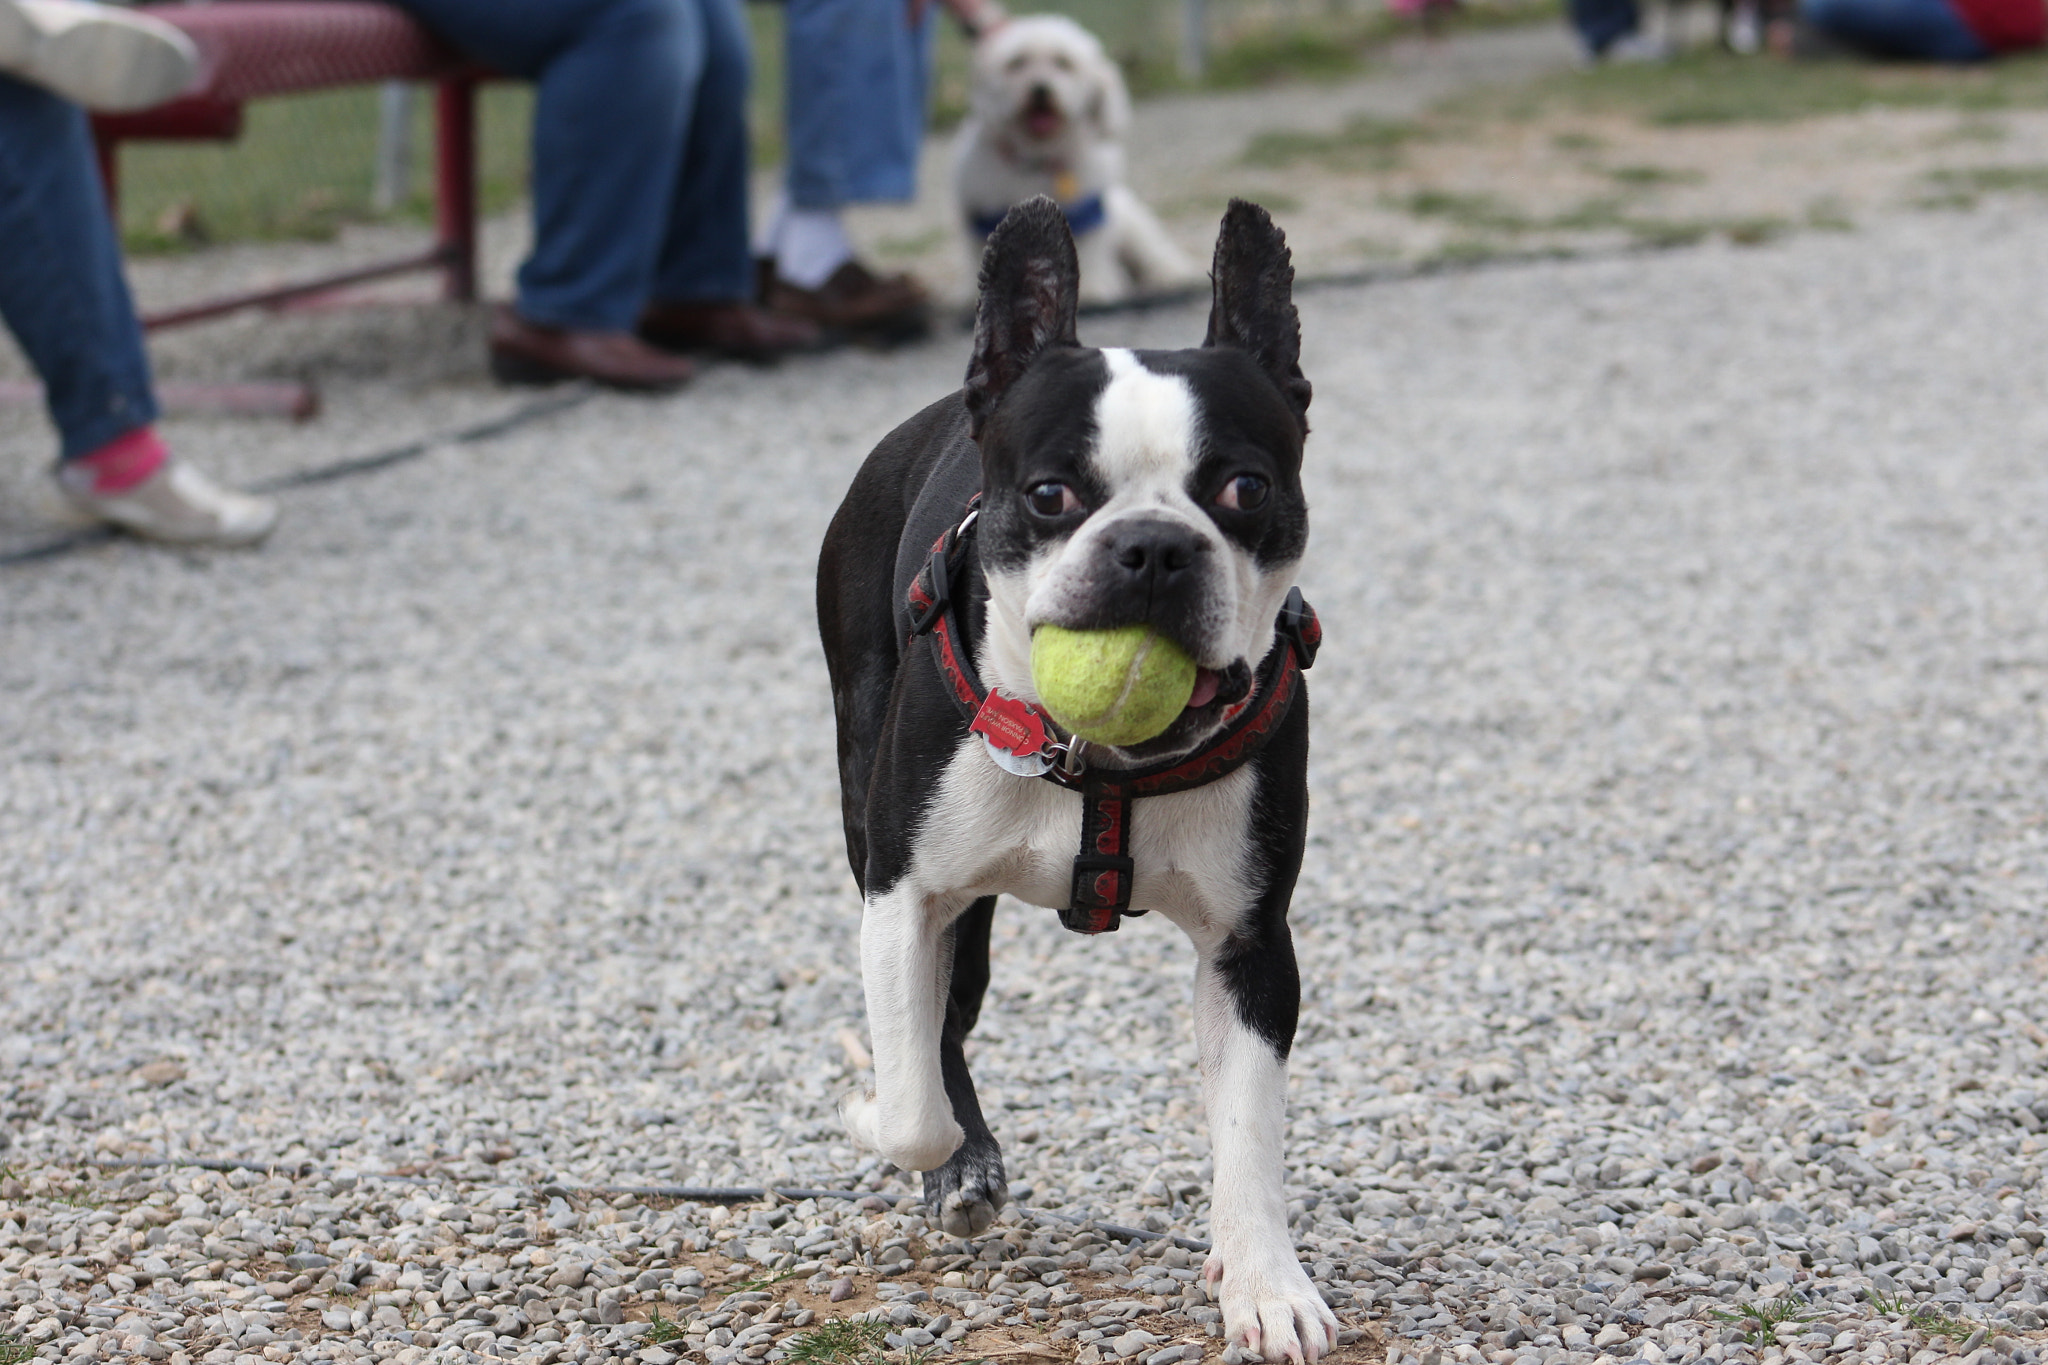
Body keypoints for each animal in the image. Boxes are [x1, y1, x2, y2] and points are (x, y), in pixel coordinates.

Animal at [823, 197, 1335, 1358]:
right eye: (1050, 494)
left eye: (1245, 487)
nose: (1152, 546)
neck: (1105, 763)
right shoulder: (904, 895)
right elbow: (910, 1101)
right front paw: (884, 1119)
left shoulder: (1249, 944)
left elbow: (1248, 1126)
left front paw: (1263, 1284)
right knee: (940, 1031)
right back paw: (959, 1165)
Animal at [954, 16, 1196, 304]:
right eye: (1017, 63)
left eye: (1063, 63)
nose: (1040, 89)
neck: (1039, 158)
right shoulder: (983, 220)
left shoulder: (1086, 215)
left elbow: (1087, 252)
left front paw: (1092, 289)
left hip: (1133, 227)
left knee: (1155, 253)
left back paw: (1171, 273)